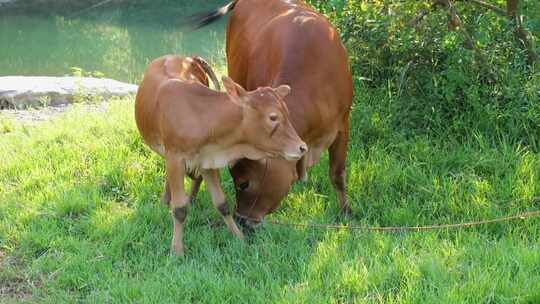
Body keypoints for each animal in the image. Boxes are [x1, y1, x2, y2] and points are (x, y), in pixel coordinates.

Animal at [134, 55, 308, 254]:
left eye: (287, 112)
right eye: (273, 117)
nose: (302, 147)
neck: (202, 117)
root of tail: (184, 56)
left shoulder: (208, 159)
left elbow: (222, 204)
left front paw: (239, 238)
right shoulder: (175, 158)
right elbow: (179, 209)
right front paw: (176, 250)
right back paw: (165, 201)